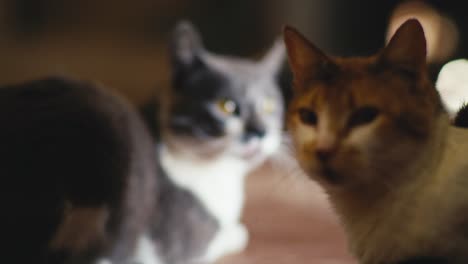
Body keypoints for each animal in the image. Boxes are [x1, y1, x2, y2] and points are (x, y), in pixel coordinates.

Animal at [134, 21, 286, 264]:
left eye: (269, 105)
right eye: (226, 106)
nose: (261, 132)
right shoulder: (174, 249)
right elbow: (227, 237)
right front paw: (236, 232)